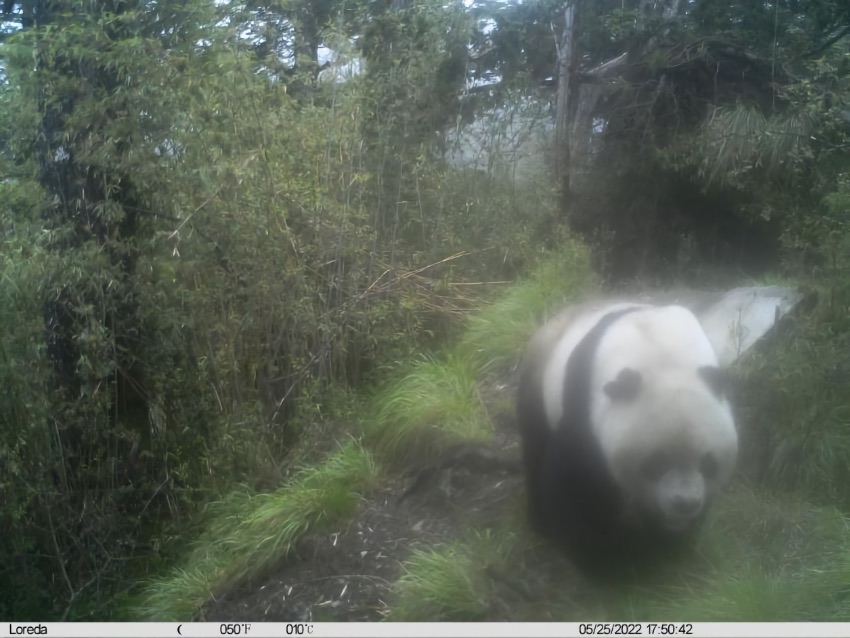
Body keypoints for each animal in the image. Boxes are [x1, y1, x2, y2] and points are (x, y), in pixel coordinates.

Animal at [516, 300, 736, 576]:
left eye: (708, 463)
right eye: (657, 463)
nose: (685, 503)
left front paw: (668, 547)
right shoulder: (584, 404)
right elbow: (575, 483)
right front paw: (610, 563)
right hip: (539, 387)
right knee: (535, 446)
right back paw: (540, 522)